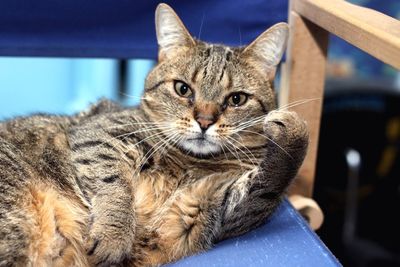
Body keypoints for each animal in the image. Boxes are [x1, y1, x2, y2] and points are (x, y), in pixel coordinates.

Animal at [0, 2, 310, 267]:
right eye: (183, 89)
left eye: (237, 99)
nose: (205, 121)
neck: (187, 162)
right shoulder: (99, 135)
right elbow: (115, 187)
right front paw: (114, 236)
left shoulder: (208, 205)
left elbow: (265, 188)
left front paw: (294, 133)